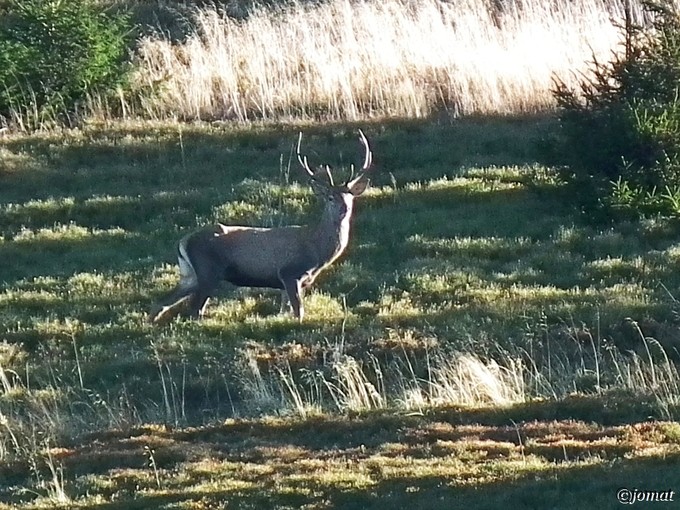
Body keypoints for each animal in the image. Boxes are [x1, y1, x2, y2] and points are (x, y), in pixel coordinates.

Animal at [149, 130, 374, 322]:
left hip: (190, 275)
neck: (317, 250)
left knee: (162, 302)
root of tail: (183, 242)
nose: (344, 209)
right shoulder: (289, 272)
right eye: (329, 198)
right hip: (208, 270)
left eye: (350, 196)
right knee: (194, 308)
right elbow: (298, 311)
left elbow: (286, 310)